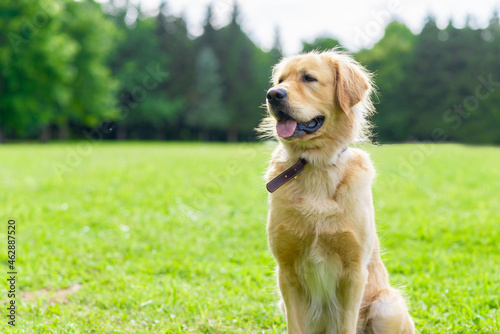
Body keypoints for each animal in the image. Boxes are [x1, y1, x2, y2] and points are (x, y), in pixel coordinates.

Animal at [260, 50, 416, 334]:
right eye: (280, 80)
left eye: (308, 78)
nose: (273, 94)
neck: (315, 166)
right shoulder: (286, 271)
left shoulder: (354, 272)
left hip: (387, 304)